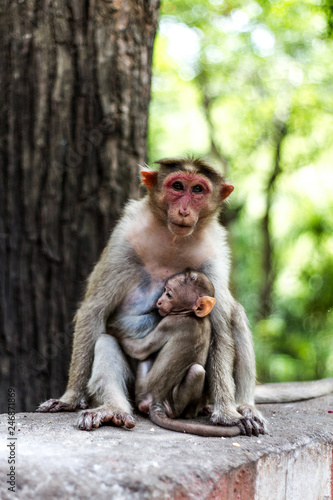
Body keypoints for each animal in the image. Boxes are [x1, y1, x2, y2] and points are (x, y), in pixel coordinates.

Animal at [119, 270, 241, 438]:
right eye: (164, 290)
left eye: (169, 294)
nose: (159, 302)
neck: (191, 314)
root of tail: (156, 401)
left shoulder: (169, 323)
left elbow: (141, 350)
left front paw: (116, 333)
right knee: (198, 371)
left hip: (143, 388)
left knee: (190, 370)